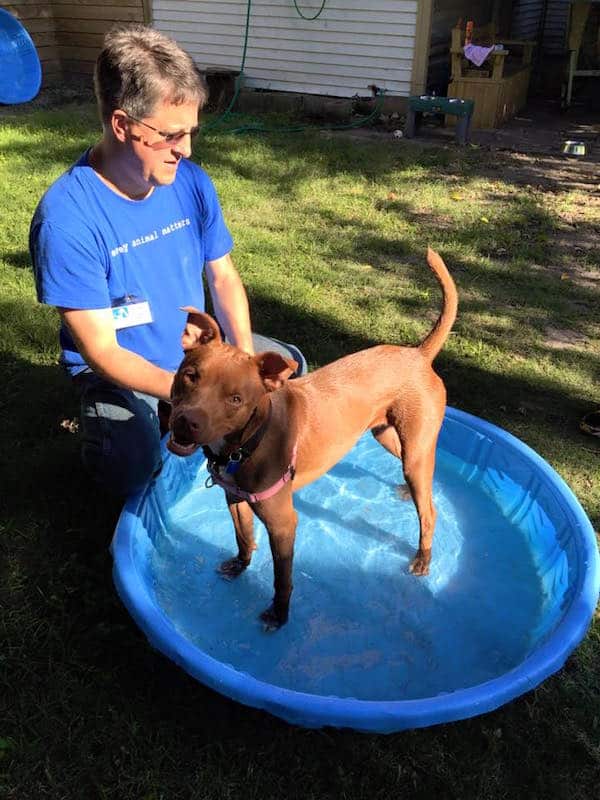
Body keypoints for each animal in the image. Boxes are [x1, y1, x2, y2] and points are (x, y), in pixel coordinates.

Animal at [166, 250, 458, 632]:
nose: (186, 422)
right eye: (190, 376)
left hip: (415, 444)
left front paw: (279, 614)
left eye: (235, 399)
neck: (247, 441)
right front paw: (240, 564)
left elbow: (282, 578)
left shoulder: (283, 524)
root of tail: (418, 354)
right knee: (421, 479)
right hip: (390, 437)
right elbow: (243, 537)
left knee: (429, 511)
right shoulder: (235, 499)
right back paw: (409, 492)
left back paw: (423, 557)